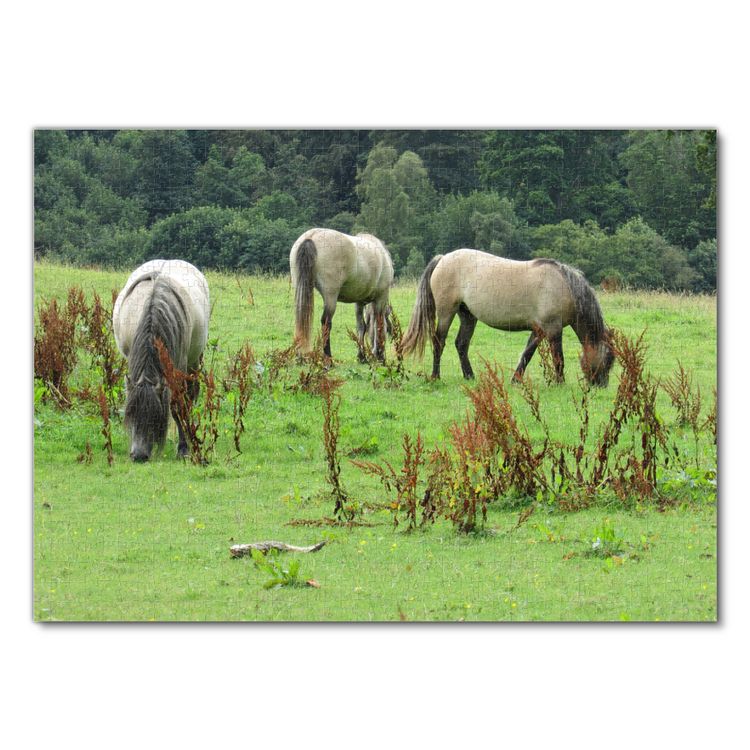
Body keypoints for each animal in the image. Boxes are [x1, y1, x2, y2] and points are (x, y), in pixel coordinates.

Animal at [113, 259, 210, 461]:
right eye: (131, 414)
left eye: (154, 417)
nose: (139, 455)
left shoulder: (178, 367)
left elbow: (178, 406)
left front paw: (183, 448)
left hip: (193, 362)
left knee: (190, 396)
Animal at [290, 228, 394, 362]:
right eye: (389, 329)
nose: (379, 355)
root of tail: (311, 237)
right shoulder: (381, 297)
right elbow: (378, 325)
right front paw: (379, 356)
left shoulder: (359, 302)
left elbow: (362, 326)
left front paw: (362, 356)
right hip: (330, 297)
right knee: (326, 323)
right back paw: (328, 359)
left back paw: (300, 357)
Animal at [401, 249, 614, 386]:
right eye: (609, 359)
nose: (601, 385)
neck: (564, 286)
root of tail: (443, 258)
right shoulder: (553, 329)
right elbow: (558, 357)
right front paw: (560, 382)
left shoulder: (538, 330)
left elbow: (527, 354)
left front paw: (516, 380)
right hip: (447, 312)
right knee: (439, 341)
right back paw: (435, 376)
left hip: (468, 316)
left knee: (461, 344)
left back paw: (470, 376)